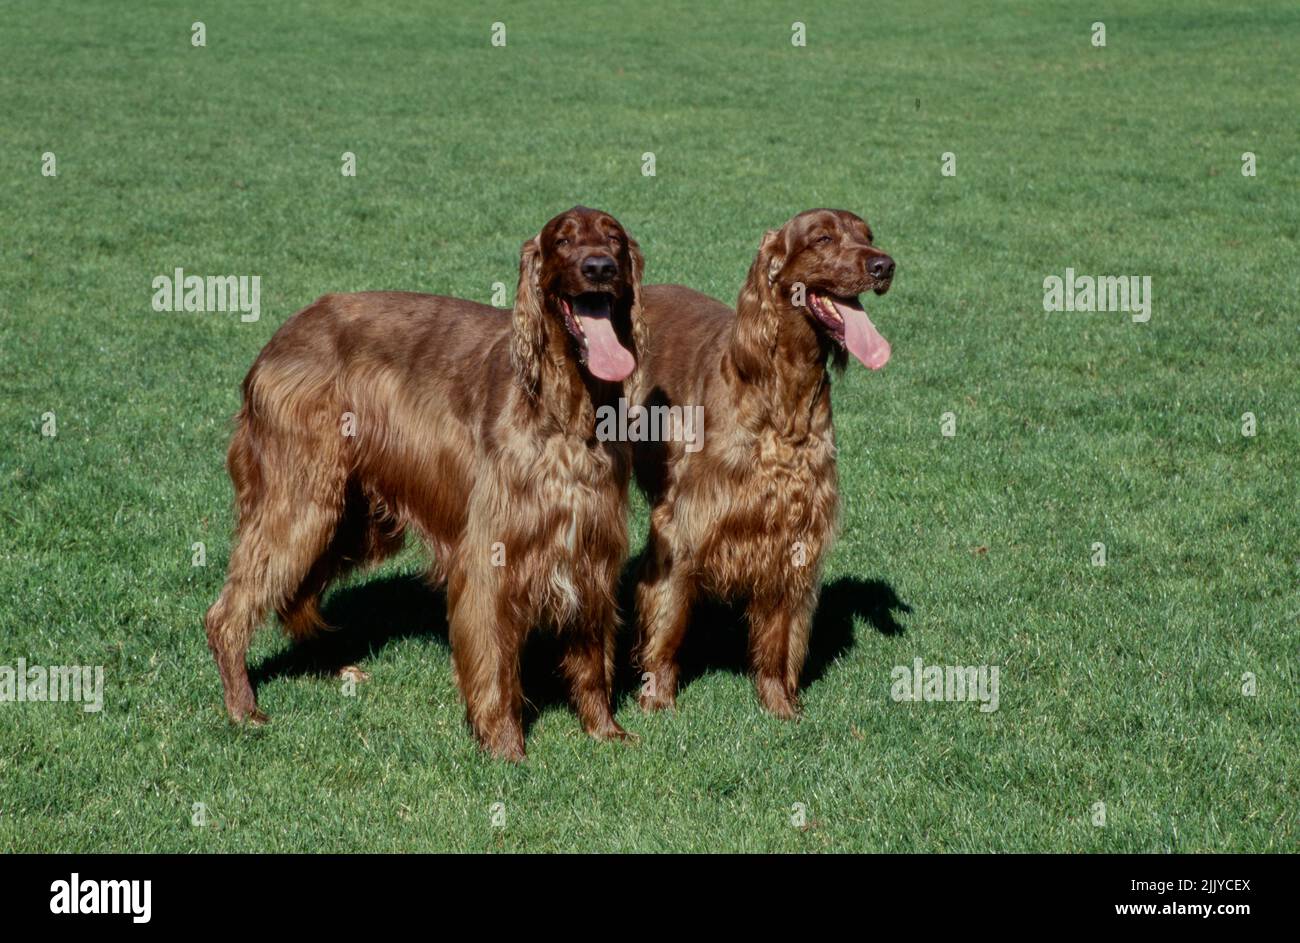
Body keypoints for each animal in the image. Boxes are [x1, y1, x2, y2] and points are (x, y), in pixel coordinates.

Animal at [206, 204, 644, 759]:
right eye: (563, 240)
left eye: (614, 238)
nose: (599, 267)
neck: (565, 411)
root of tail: (276, 341)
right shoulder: (491, 555)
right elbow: (494, 664)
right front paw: (505, 748)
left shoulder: (591, 544)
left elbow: (591, 657)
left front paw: (604, 730)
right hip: (302, 500)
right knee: (227, 613)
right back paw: (243, 708)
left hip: (348, 515)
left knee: (294, 593)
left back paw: (333, 670)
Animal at [629, 208, 894, 712]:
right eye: (823, 238)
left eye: (868, 234)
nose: (884, 266)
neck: (783, 392)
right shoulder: (685, 520)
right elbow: (668, 618)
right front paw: (657, 699)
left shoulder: (793, 529)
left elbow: (778, 636)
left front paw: (780, 705)